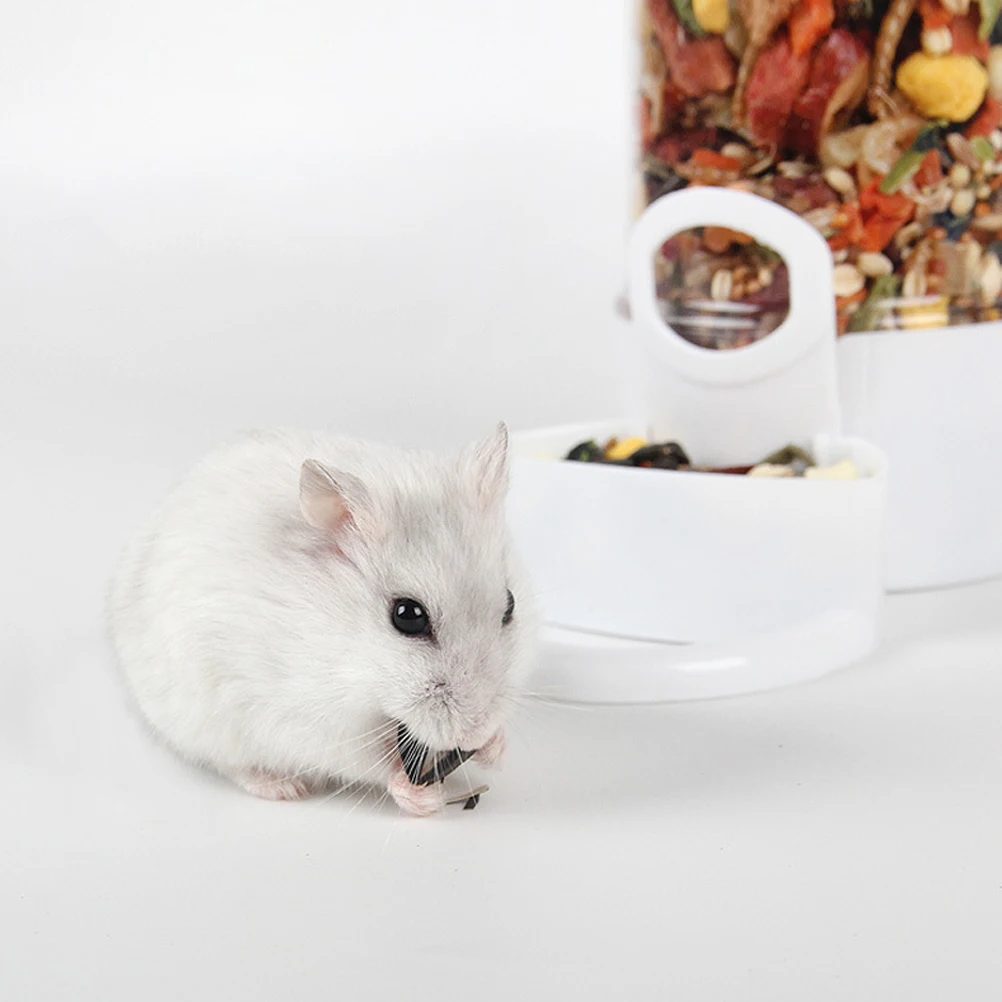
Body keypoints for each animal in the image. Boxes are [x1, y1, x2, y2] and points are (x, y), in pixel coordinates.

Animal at [107, 424, 536, 816]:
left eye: (510, 605)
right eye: (407, 616)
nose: (474, 731)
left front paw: (494, 747)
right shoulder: (311, 720)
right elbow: (372, 763)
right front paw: (425, 799)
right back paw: (284, 788)